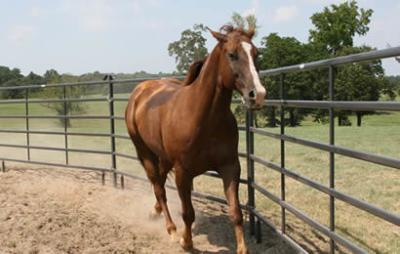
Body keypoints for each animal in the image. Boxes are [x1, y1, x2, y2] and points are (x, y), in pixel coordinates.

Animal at [125, 24, 266, 254]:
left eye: (256, 53)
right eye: (232, 54)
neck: (204, 117)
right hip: (145, 152)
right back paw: (171, 229)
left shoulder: (230, 167)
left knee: (160, 183)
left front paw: (242, 248)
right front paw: (186, 242)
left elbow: (235, 213)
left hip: (164, 158)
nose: (258, 94)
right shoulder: (183, 172)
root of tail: (140, 91)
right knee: (158, 187)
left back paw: (155, 212)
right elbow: (188, 212)